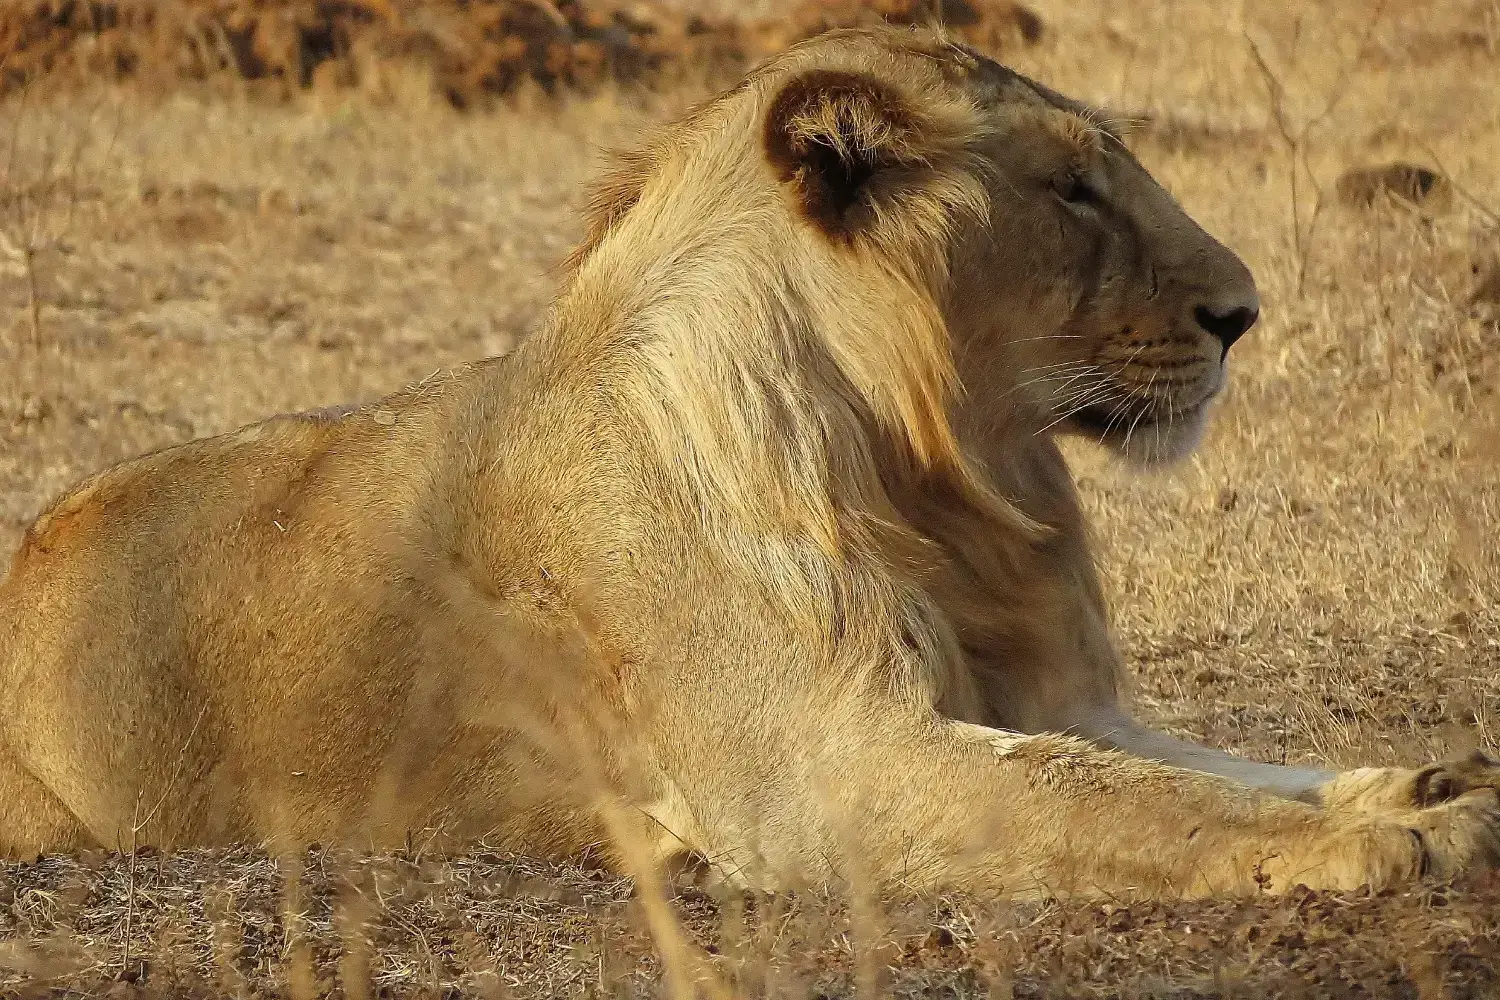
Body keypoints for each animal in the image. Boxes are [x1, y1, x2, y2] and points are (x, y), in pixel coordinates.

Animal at [2, 27, 1500, 899]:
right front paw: (1375, 841)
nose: (1244, 312)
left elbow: (1206, 767)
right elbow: (1131, 805)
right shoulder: (825, 774)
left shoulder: (1056, 700)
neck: (934, 479)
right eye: (1071, 189)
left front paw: (1425, 786)